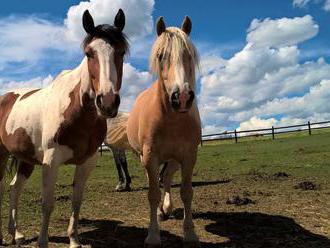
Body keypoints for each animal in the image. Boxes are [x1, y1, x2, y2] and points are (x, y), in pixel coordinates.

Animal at [0, 8, 128, 247]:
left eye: (122, 52)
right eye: (89, 53)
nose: (107, 102)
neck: (78, 111)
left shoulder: (87, 162)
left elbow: (76, 201)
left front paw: (74, 240)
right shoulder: (51, 162)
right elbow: (47, 204)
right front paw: (42, 242)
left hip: (26, 159)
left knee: (14, 188)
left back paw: (16, 234)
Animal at [127, 16, 201, 247]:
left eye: (189, 54)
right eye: (161, 56)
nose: (182, 97)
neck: (172, 120)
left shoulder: (188, 156)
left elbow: (187, 192)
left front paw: (190, 233)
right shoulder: (150, 156)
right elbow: (153, 194)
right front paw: (153, 235)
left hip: (174, 159)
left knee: (167, 178)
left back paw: (166, 208)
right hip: (145, 157)